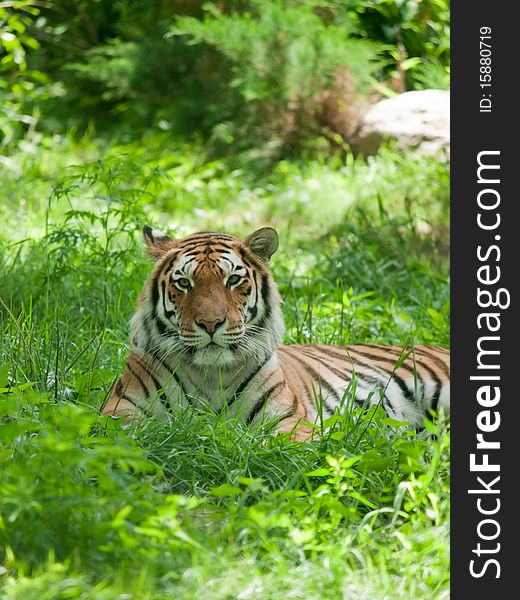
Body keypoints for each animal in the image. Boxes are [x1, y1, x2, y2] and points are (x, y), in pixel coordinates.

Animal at [100, 225, 446, 440]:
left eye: (233, 280)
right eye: (184, 283)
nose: (211, 324)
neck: (210, 375)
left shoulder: (288, 421)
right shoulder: (119, 412)